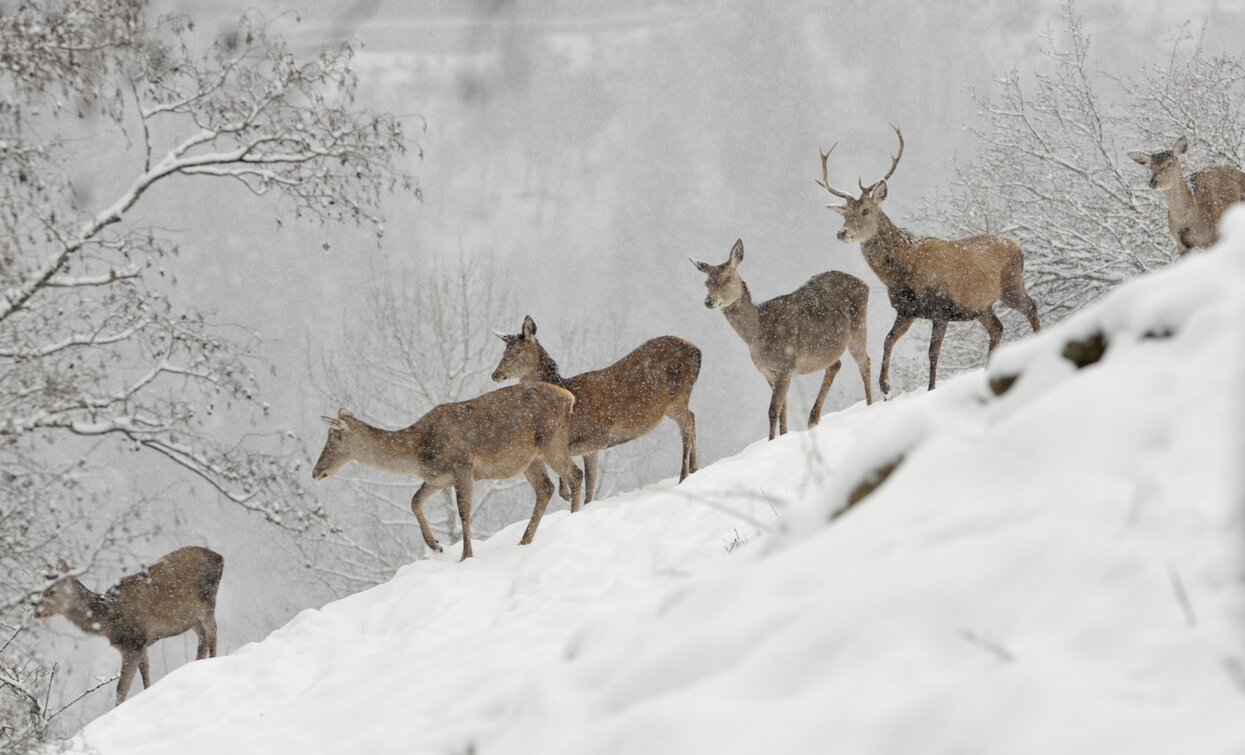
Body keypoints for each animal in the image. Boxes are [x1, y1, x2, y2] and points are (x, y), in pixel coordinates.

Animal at [34, 548, 224, 707]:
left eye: (51, 592)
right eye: (40, 591)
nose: (35, 610)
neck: (108, 620)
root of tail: (220, 558)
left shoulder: (132, 643)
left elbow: (120, 689)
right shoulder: (141, 644)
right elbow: (146, 674)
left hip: (207, 601)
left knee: (212, 630)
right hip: (191, 618)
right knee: (203, 637)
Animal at [311, 388, 582, 558]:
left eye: (333, 438)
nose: (315, 471)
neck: (418, 451)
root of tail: (569, 398)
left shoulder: (463, 467)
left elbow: (464, 512)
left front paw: (465, 555)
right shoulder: (438, 479)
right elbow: (414, 501)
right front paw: (436, 546)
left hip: (551, 441)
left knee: (575, 474)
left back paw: (575, 517)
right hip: (529, 459)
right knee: (546, 488)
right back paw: (525, 540)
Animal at [488, 315, 702, 503]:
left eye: (518, 351)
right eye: (504, 352)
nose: (495, 374)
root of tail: (698, 350)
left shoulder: (597, 435)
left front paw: (565, 491)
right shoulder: (592, 449)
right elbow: (590, 489)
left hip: (677, 398)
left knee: (687, 425)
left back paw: (684, 475)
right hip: (674, 404)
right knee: (692, 420)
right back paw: (694, 469)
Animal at [687, 239, 871, 441]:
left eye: (727, 278)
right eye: (706, 283)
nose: (708, 301)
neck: (757, 335)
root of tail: (865, 284)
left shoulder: (784, 367)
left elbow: (773, 410)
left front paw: (772, 441)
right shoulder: (768, 372)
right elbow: (783, 407)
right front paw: (783, 437)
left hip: (858, 328)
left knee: (865, 363)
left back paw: (871, 404)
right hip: (825, 351)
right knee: (836, 365)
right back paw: (813, 419)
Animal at [816, 126, 1040, 393]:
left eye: (865, 210)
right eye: (845, 215)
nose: (842, 232)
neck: (905, 272)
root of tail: (1017, 245)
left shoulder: (941, 307)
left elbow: (933, 351)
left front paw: (930, 388)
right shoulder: (907, 310)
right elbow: (887, 340)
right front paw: (885, 386)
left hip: (1010, 285)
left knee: (1031, 306)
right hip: (981, 306)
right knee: (997, 327)